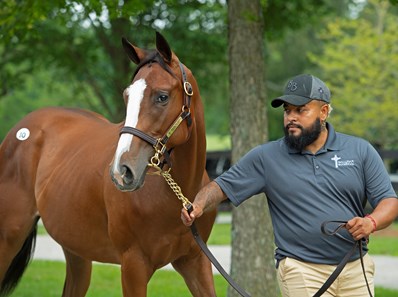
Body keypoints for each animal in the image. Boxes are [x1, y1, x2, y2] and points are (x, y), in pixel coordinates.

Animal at [0, 32, 218, 296]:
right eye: (127, 96)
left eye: (162, 97)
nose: (122, 172)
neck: (177, 194)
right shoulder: (133, 266)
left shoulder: (195, 261)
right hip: (8, 238)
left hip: (76, 250)